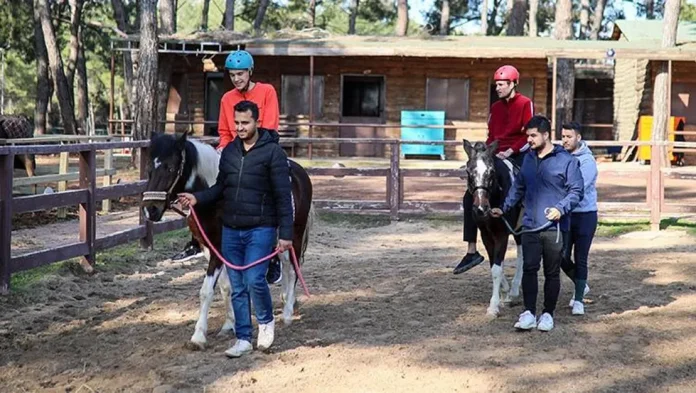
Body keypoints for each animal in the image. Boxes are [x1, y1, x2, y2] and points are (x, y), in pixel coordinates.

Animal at [141, 132, 316, 350]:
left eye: (171, 168)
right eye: (149, 167)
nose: (151, 209)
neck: (215, 200)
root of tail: (301, 172)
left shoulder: (220, 248)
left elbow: (206, 291)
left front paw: (198, 336)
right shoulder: (211, 248)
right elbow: (227, 287)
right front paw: (229, 324)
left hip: (295, 235)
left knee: (291, 268)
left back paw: (288, 313)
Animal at [462, 139, 520, 316]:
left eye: (491, 171)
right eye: (468, 171)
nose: (481, 208)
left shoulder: (502, 234)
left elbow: (496, 269)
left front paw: (494, 305)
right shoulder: (486, 235)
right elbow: (495, 264)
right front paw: (503, 294)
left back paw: (515, 290)